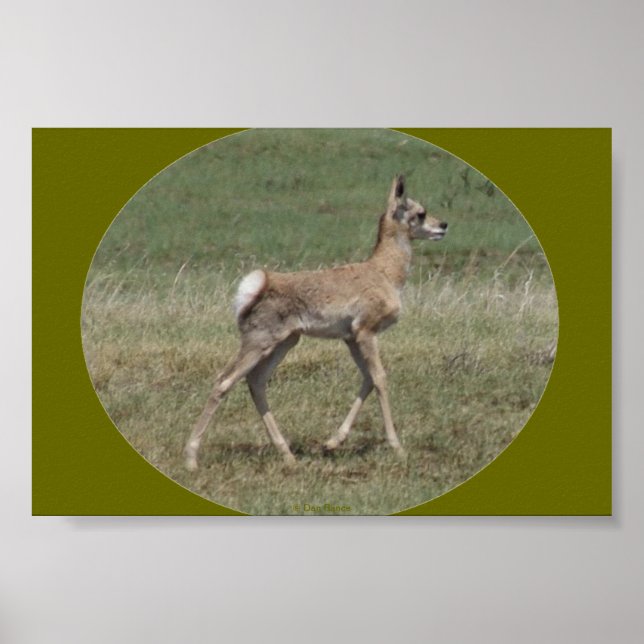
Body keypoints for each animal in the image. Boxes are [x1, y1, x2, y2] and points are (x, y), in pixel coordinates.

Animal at [184, 175, 448, 470]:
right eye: (420, 212)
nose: (443, 225)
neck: (382, 271)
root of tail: (263, 284)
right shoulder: (366, 333)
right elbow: (380, 378)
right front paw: (397, 448)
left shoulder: (351, 338)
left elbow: (367, 378)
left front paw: (332, 442)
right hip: (259, 344)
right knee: (223, 382)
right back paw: (191, 458)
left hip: (284, 343)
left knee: (256, 382)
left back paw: (287, 455)